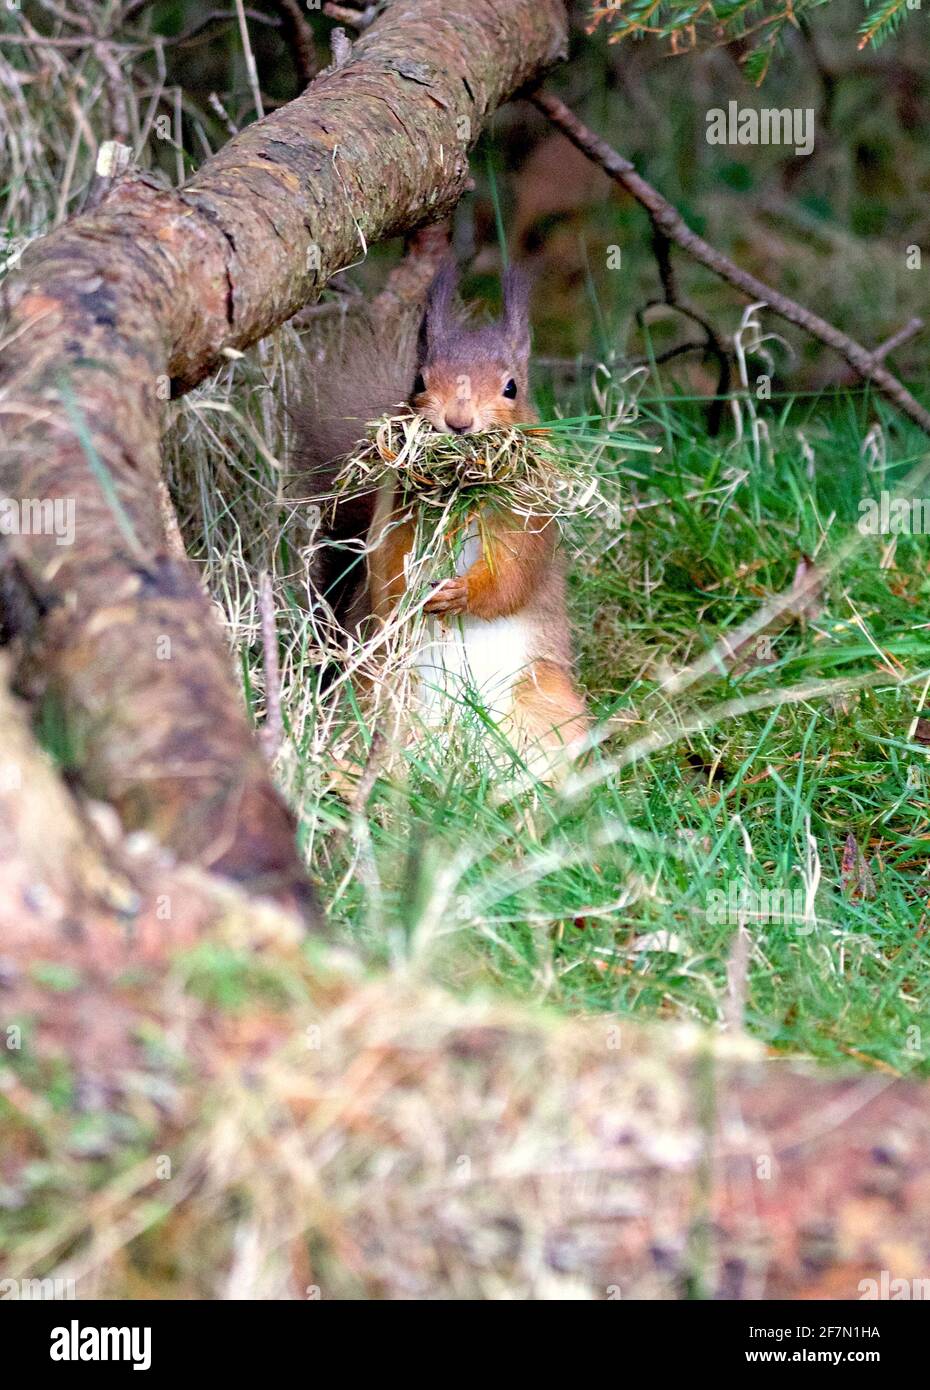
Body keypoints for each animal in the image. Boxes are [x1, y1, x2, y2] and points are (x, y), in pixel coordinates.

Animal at [296, 265, 586, 778]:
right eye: (418, 380)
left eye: (511, 387)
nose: (458, 421)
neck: (459, 494)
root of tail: (457, 756)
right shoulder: (393, 513)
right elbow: (385, 573)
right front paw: (411, 596)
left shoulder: (530, 519)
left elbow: (514, 576)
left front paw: (461, 594)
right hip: (376, 695)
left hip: (547, 706)